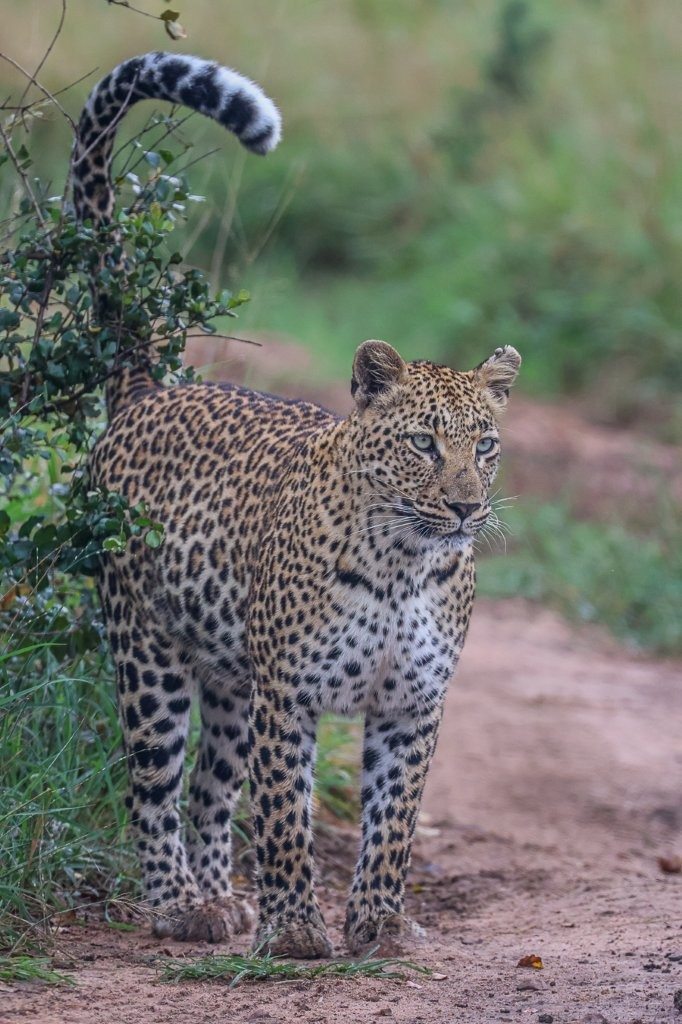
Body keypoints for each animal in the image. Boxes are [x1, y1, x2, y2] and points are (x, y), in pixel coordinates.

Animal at [73, 51, 521, 958]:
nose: (465, 509)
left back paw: (220, 900)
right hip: (151, 653)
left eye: (486, 446)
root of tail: (146, 390)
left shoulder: (412, 706)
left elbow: (395, 821)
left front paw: (379, 924)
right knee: (154, 784)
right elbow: (285, 814)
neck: (403, 562)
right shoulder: (292, 693)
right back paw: (178, 906)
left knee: (211, 789)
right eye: (424, 444)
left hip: (231, 677)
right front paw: (296, 933)